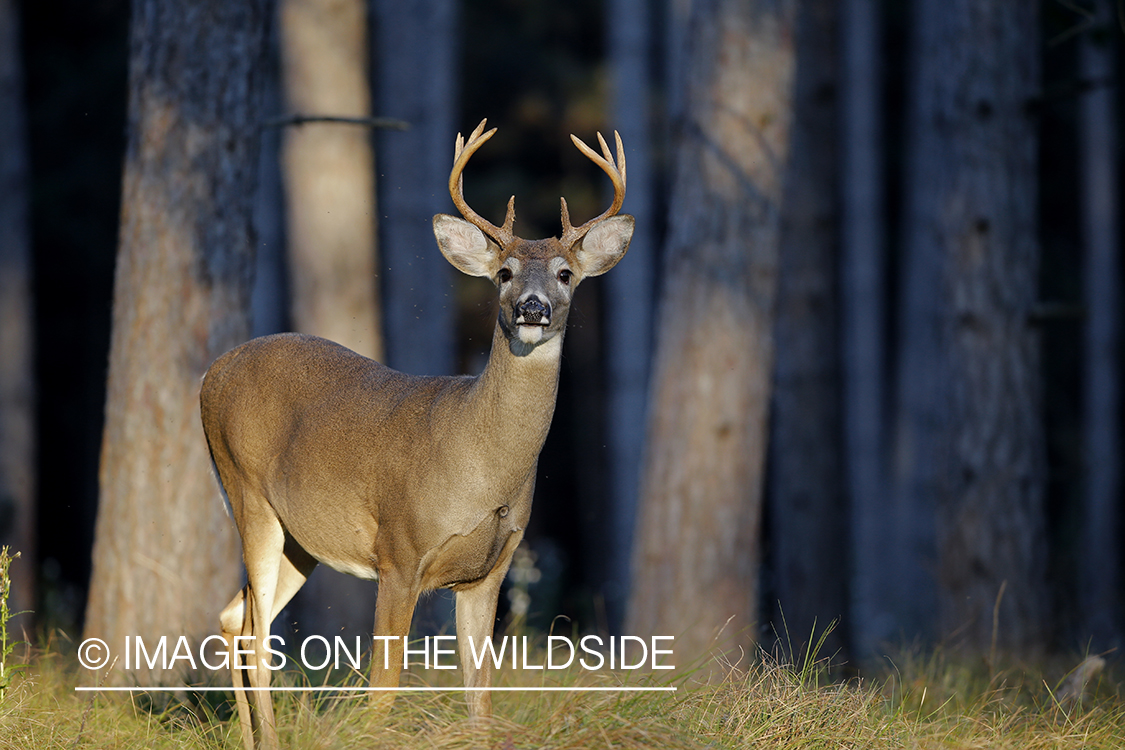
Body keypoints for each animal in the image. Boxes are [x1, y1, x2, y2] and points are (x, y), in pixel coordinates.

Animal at [198, 120, 630, 746]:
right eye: (504, 273)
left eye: (565, 274)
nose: (533, 307)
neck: (483, 465)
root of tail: (211, 373)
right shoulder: (398, 553)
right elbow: (382, 691)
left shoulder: (489, 571)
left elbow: (481, 698)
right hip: (246, 492)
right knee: (255, 636)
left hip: (300, 537)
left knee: (238, 616)